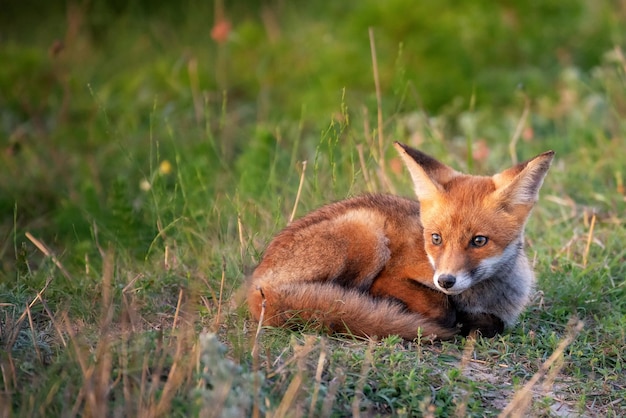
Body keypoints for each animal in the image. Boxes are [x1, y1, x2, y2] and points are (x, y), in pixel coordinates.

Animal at [244, 143, 552, 340]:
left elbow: (493, 323)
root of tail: (257, 284)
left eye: (479, 241)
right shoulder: (392, 277)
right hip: (367, 232)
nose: (446, 281)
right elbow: (442, 309)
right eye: (436, 238)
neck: (478, 297)